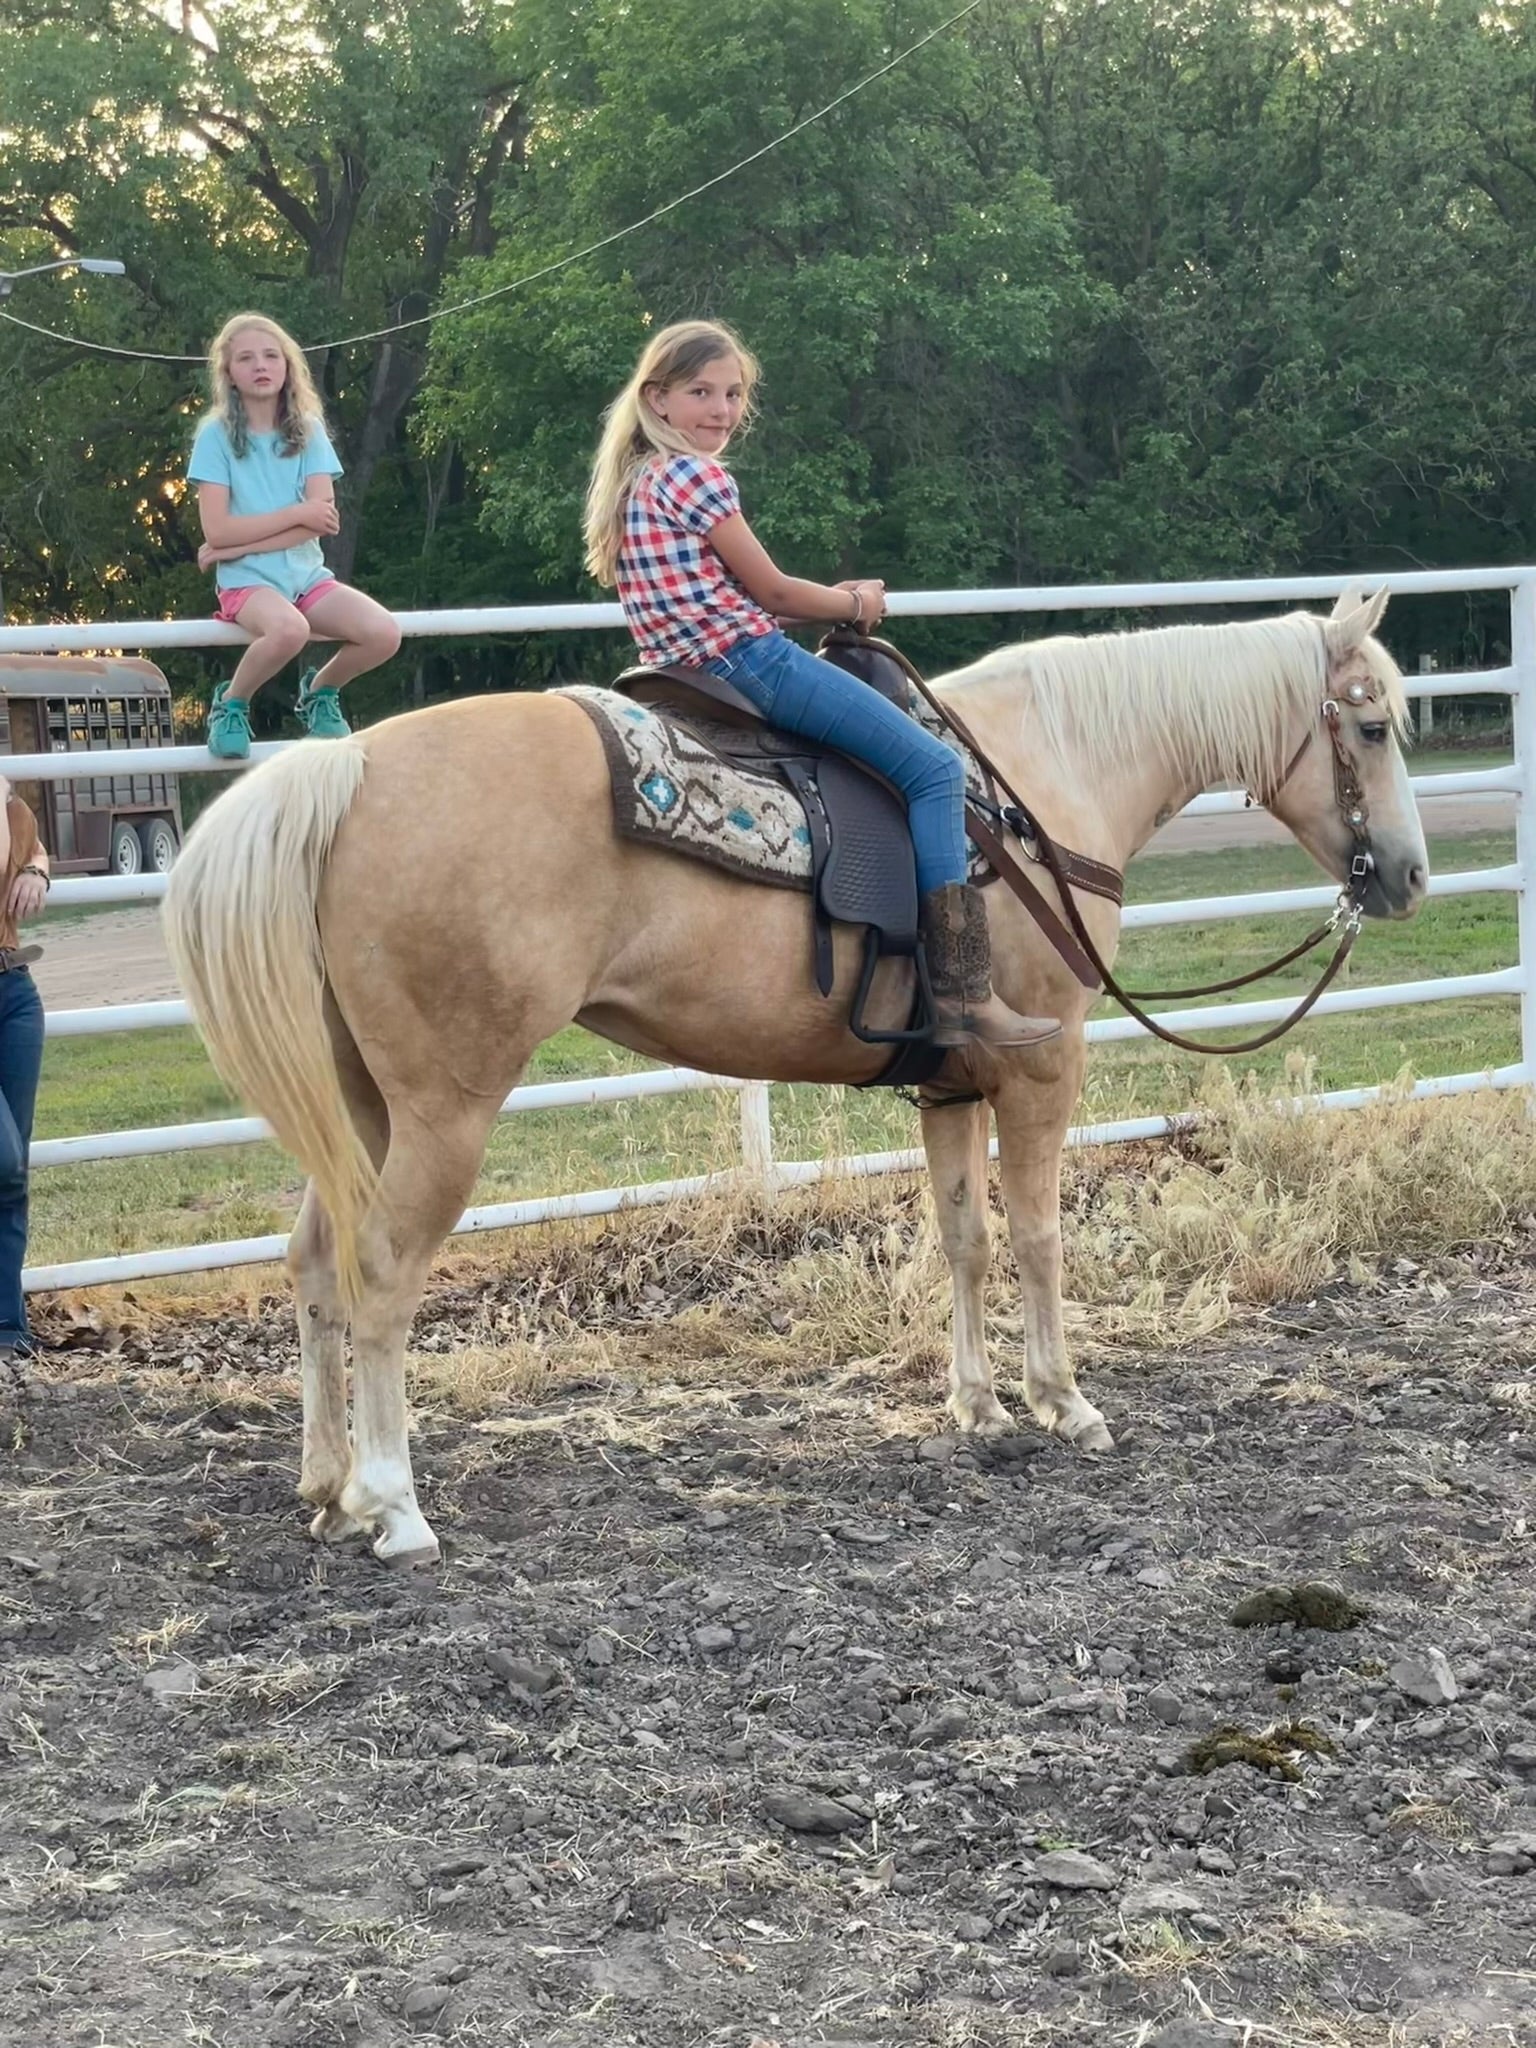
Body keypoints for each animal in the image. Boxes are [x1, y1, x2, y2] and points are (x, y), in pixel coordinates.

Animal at [163, 586, 1427, 1565]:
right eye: (1369, 727)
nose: (1407, 876)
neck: (1035, 782)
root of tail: (350, 765)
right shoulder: (1042, 1068)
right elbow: (1037, 1236)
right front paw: (1065, 1399)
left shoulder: (950, 1084)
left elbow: (963, 1235)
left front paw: (976, 1403)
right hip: (443, 1110)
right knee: (381, 1273)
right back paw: (396, 1505)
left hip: (364, 1104)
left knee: (315, 1263)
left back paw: (329, 1486)